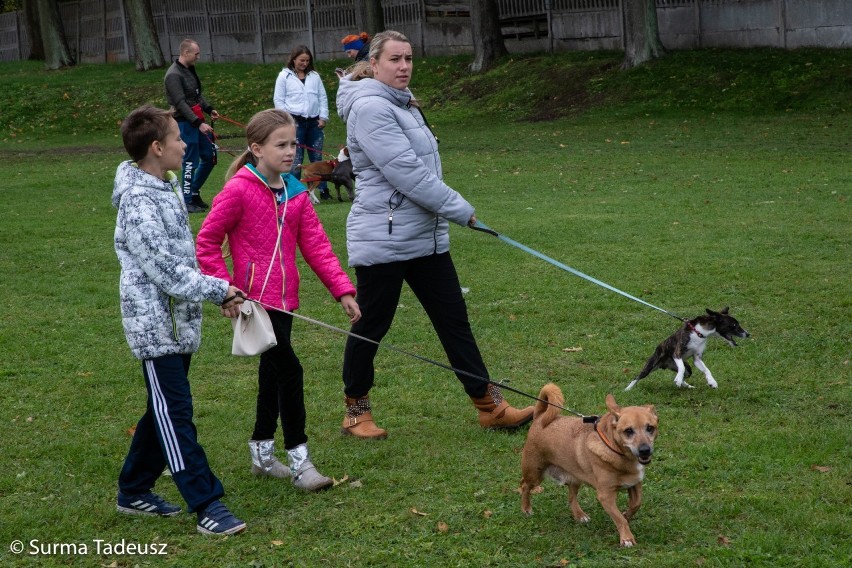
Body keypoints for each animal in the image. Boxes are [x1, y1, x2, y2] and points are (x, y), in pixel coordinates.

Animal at [520, 384, 660, 548]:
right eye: (628, 431)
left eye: (650, 428)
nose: (645, 450)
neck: (617, 451)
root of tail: (540, 417)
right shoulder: (606, 495)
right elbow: (619, 518)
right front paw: (626, 537)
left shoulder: (635, 484)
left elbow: (636, 504)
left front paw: (627, 514)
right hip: (534, 474)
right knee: (524, 486)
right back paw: (526, 509)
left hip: (575, 477)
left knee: (571, 497)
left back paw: (579, 515)